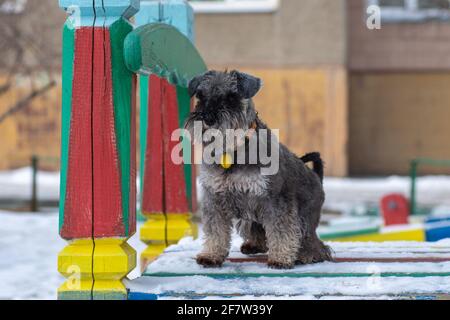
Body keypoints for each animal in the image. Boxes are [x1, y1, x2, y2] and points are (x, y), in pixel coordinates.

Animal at [185, 70, 332, 270]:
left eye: (232, 97)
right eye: (201, 95)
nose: (208, 118)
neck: (233, 150)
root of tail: (317, 176)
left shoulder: (276, 199)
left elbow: (281, 230)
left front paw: (281, 259)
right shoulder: (214, 198)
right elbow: (215, 231)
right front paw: (211, 255)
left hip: (305, 217)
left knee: (313, 241)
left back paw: (308, 255)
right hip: (248, 218)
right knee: (257, 230)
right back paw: (254, 245)